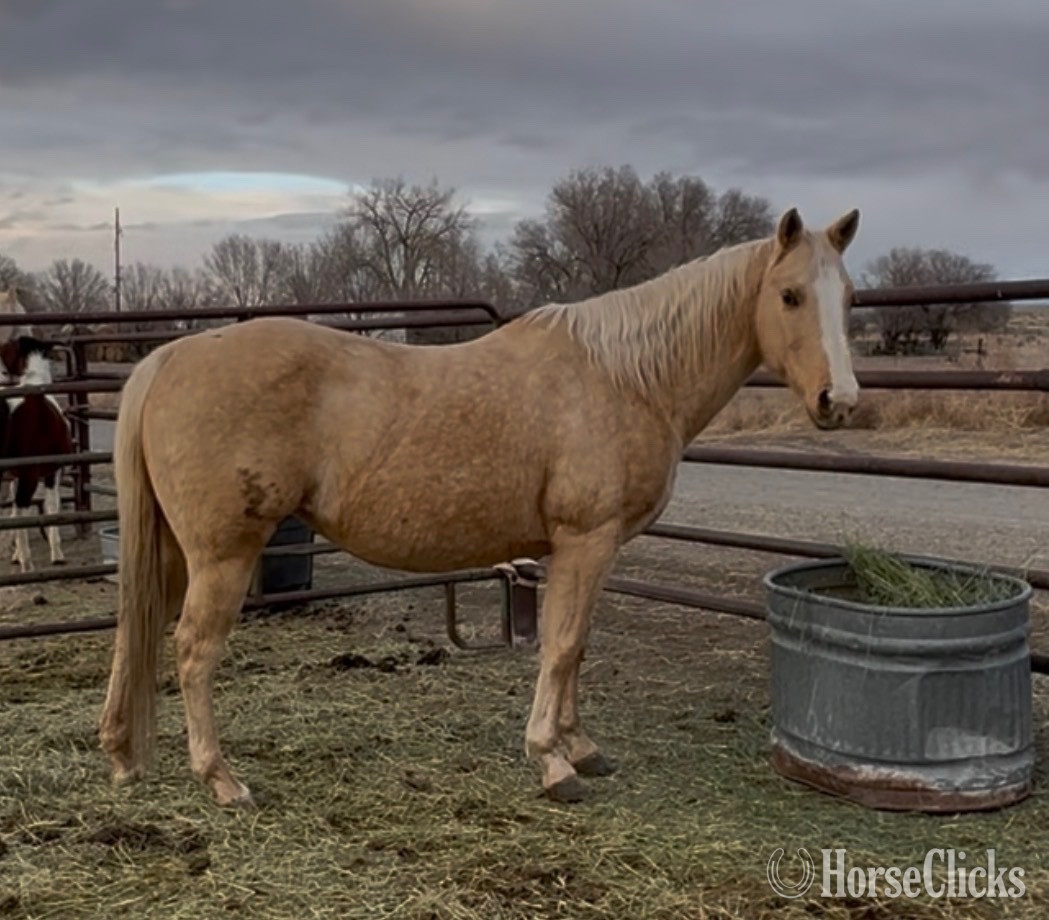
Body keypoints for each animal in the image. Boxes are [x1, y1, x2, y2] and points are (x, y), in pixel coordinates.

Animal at [0, 335, 75, 571]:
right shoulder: (52, 472)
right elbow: (52, 508)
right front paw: (57, 554)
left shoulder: (14, 475)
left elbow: (14, 511)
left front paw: (15, 554)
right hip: (30, 475)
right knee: (23, 509)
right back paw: (27, 563)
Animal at [100, 206, 862, 807]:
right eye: (789, 295)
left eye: (848, 297)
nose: (841, 402)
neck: (625, 376)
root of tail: (170, 358)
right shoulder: (585, 539)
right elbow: (561, 645)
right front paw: (553, 762)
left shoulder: (588, 548)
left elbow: (578, 645)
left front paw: (581, 746)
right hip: (222, 555)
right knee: (194, 650)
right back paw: (221, 780)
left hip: (173, 551)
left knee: (137, 629)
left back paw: (122, 754)